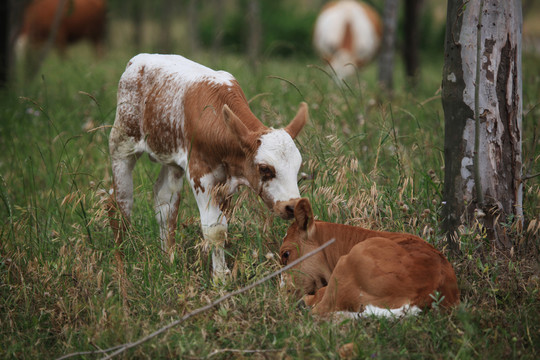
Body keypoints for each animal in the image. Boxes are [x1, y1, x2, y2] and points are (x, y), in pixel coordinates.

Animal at [109, 54, 308, 278]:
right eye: (265, 168)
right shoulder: (200, 175)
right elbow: (214, 229)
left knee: (165, 205)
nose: (292, 206)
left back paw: (168, 260)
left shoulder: (226, 181)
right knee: (121, 204)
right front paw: (220, 278)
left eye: (297, 167)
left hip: (171, 160)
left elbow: (222, 224)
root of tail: (138, 60)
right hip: (121, 142)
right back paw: (122, 264)